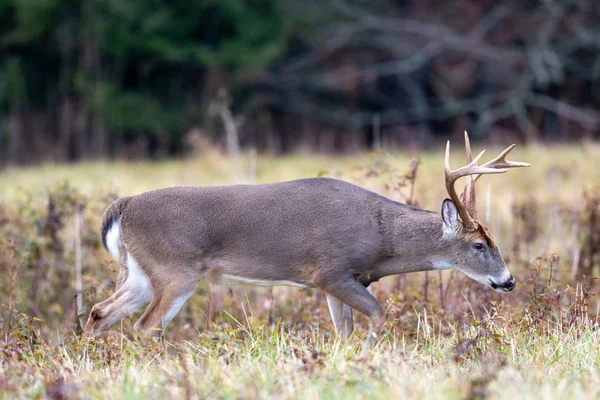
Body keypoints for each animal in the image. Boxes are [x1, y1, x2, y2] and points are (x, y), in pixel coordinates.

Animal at [83, 133, 524, 346]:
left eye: (494, 240)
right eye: (478, 245)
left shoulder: (337, 282)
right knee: (145, 326)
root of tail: (123, 206)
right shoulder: (331, 271)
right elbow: (377, 316)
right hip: (175, 270)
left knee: (100, 311)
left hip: (140, 271)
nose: (508, 281)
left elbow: (343, 330)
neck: (382, 240)